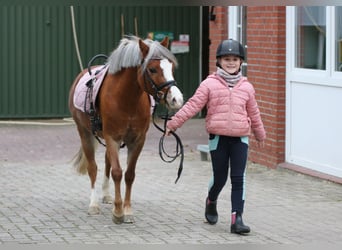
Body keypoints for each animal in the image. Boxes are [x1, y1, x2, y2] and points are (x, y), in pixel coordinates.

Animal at [68, 34, 183, 223]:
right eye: (152, 69)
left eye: (171, 67)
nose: (176, 99)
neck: (126, 98)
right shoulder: (112, 137)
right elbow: (117, 172)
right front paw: (118, 212)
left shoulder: (137, 140)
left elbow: (129, 174)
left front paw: (127, 210)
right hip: (85, 134)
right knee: (93, 168)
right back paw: (94, 204)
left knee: (107, 162)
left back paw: (107, 195)